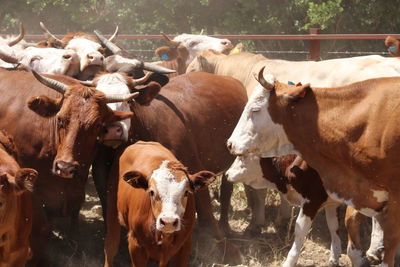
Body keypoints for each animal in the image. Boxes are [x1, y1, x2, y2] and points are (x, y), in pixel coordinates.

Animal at [94, 71, 248, 266]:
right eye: (98, 104)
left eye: (130, 100)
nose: (113, 130)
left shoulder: (193, 168)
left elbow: (206, 210)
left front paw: (227, 249)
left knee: (226, 189)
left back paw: (225, 227)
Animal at [228, 69, 400, 267]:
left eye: (255, 109)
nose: (229, 144)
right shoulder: (357, 193)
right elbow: (339, 225)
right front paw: (338, 257)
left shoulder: (315, 199)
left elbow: (301, 229)